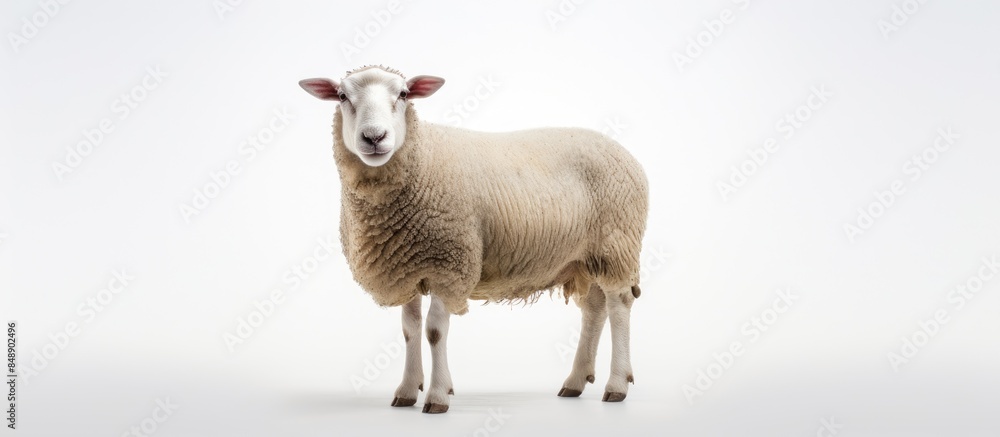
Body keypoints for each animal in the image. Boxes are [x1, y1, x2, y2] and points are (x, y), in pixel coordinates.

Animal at [299, 65, 648, 413]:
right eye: (342, 96)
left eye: (403, 94)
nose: (374, 137)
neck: (422, 159)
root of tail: (621, 150)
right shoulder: (408, 263)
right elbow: (410, 329)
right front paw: (407, 390)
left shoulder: (449, 264)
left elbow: (434, 331)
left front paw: (437, 396)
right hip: (584, 257)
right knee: (594, 308)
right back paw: (575, 381)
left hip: (617, 243)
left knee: (619, 304)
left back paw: (616, 385)